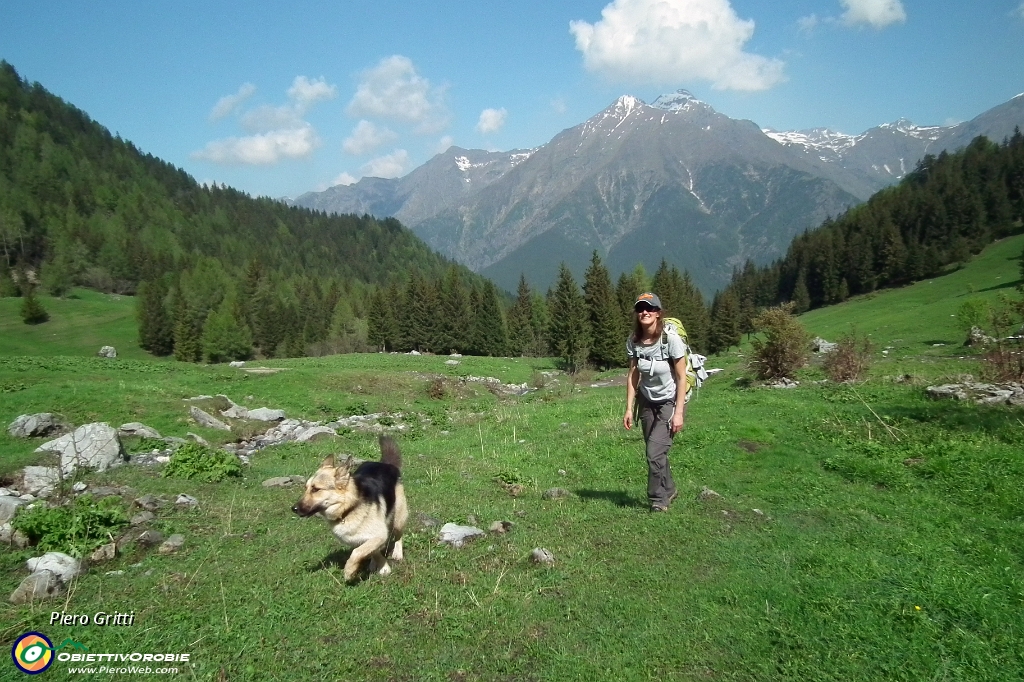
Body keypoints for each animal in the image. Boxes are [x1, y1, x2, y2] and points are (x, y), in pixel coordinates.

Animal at [292, 436, 407, 577]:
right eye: (306, 488)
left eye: (316, 489)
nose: (294, 509)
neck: (348, 509)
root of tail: (386, 464)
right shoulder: (363, 539)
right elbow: (370, 550)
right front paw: (381, 565)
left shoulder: (380, 534)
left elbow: (357, 552)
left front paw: (349, 570)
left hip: (399, 518)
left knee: (398, 536)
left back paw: (397, 553)